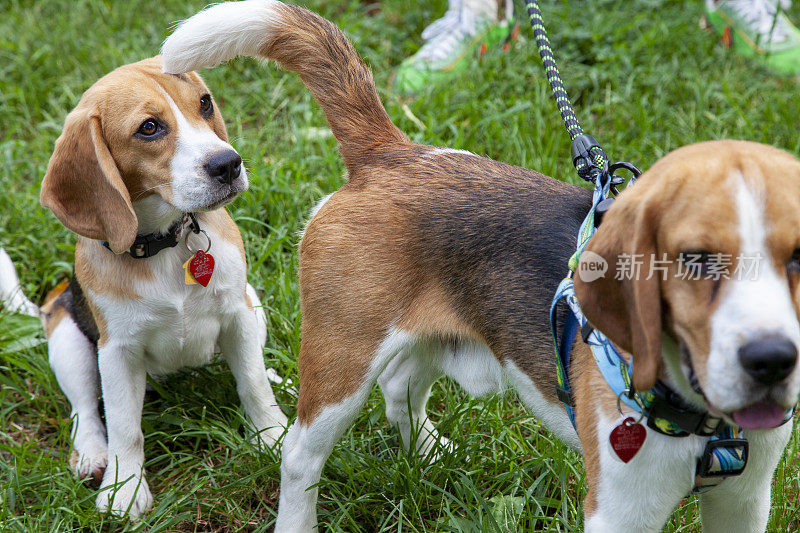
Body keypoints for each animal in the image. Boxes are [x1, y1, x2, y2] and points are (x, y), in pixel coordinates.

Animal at [5, 57, 288, 516]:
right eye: (150, 128)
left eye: (205, 103)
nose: (229, 164)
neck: (165, 243)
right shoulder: (117, 351)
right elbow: (124, 426)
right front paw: (125, 488)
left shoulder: (238, 315)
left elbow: (253, 385)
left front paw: (274, 438)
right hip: (69, 338)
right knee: (85, 410)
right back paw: (92, 456)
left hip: (253, 302)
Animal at [164, 2, 800, 528]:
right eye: (694, 260)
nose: (772, 360)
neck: (707, 422)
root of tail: (394, 152)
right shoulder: (621, 510)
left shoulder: (745, 502)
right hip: (342, 359)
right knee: (301, 455)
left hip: (427, 332)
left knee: (400, 385)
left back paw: (428, 454)